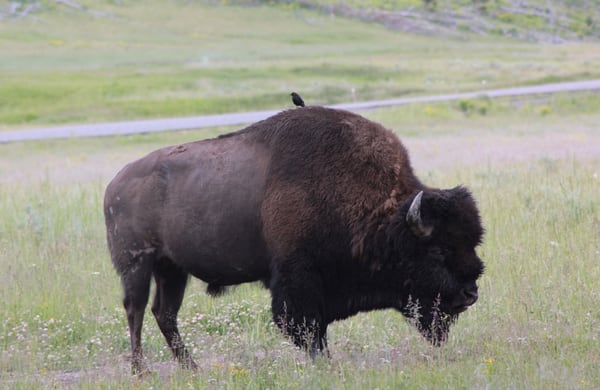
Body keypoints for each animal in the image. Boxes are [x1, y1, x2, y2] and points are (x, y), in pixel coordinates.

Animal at [105, 105, 486, 374]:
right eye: (437, 250)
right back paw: (141, 371)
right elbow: (305, 328)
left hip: (172, 269)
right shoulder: (298, 279)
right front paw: (325, 364)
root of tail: (115, 184)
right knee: (136, 310)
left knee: (164, 313)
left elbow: (316, 328)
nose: (471, 294)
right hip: (137, 264)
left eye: (471, 243)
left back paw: (191, 368)